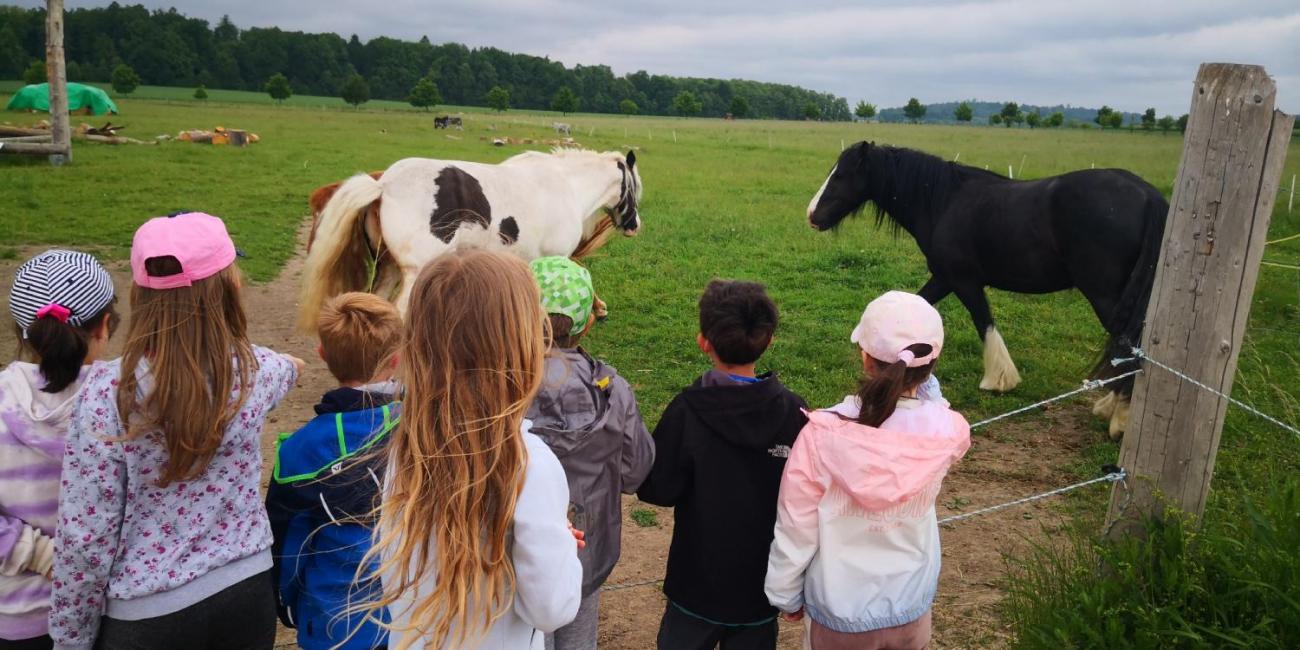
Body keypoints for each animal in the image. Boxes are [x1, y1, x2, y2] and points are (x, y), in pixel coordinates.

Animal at [296, 148, 639, 330]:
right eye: (635, 188)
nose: (635, 225)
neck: (565, 185)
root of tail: (384, 185)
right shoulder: (556, 256)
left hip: (388, 268)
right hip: (414, 273)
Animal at [800, 142, 1170, 436]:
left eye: (842, 176)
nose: (811, 216)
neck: (943, 201)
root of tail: (1149, 195)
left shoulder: (964, 281)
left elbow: (984, 323)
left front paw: (999, 379)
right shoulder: (944, 279)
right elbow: (919, 306)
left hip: (1105, 295)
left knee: (1129, 341)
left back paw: (1118, 418)